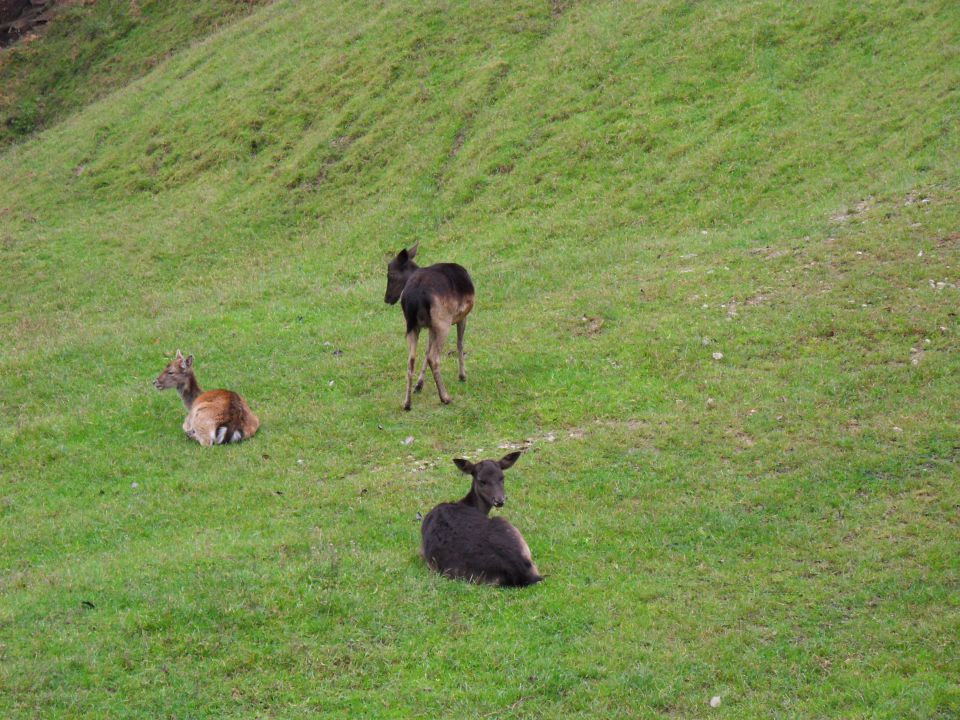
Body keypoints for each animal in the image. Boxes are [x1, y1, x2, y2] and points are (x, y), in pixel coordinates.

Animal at [382, 242, 472, 410]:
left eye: (390, 274)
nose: (387, 298)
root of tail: (415, 296)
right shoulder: (462, 316)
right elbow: (460, 343)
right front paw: (462, 375)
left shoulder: (429, 326)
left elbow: (425, 350)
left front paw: (419, 385)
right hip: (443, 321)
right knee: (434, 357)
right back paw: (445, 397)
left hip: (412, 325)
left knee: (411, 359)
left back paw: (407, 403)